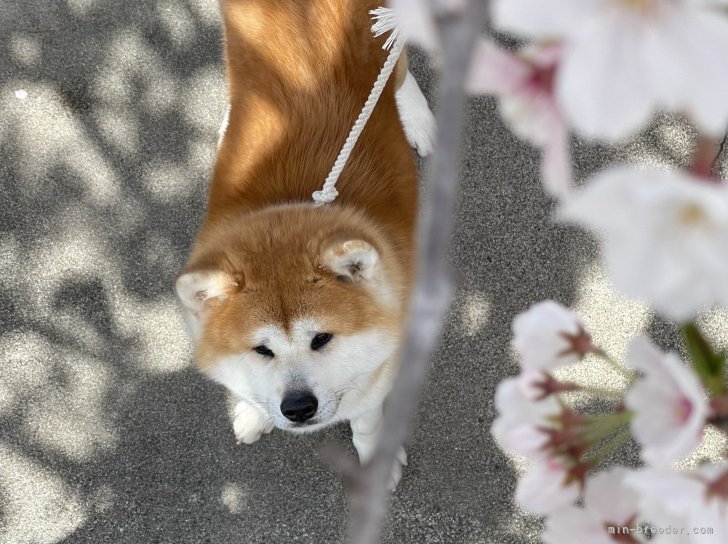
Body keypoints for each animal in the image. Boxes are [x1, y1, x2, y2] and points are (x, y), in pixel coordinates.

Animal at [177, 0, 436, 486]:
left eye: (322, 339)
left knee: (399, 66)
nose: (297, 407)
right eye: (262, 349)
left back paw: (417, 117)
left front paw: (374, 461)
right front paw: (254, 412)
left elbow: (366, 421)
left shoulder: (378, 370)